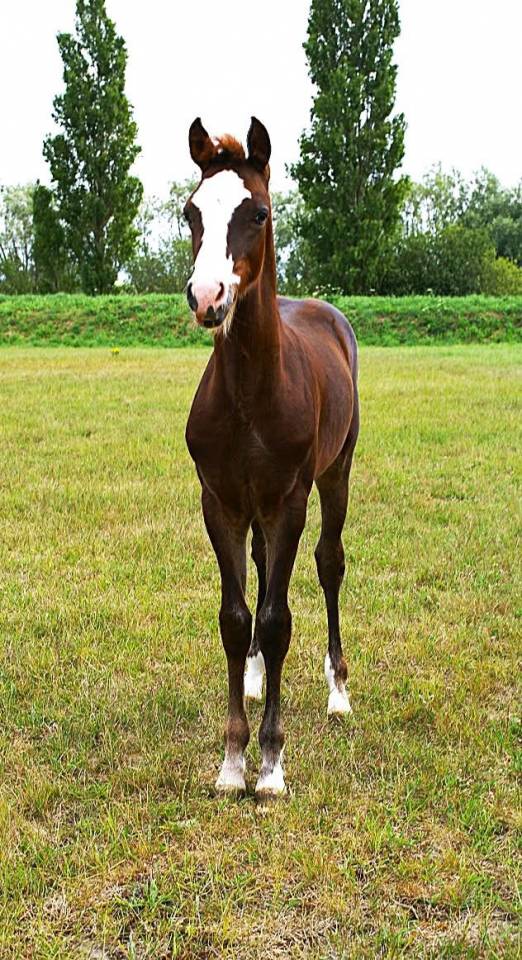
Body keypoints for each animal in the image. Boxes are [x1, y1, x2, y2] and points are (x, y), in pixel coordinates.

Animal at [184, 117, 359, 802]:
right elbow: (236, 618)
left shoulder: (288, 500)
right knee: (261, 572)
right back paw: (257, 677)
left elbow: (280, 619)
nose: (207, 295)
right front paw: (232, 762)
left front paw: (271, 766)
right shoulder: (222, 503)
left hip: (335, 475)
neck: (250, 394)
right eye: (190, 214)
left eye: (256, 213)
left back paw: (339, 692)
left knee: (330, 564)